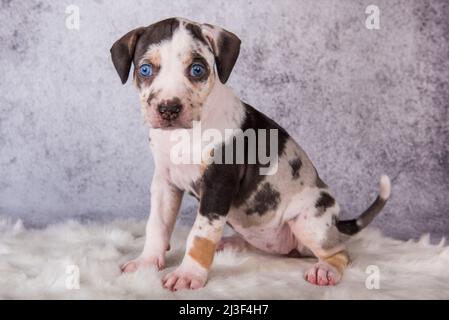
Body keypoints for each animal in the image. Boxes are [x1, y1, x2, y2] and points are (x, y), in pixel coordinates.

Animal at [110, 18, 390, 292]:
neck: (183, 135)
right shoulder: (165, 182)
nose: (168, 108)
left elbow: (200, 234)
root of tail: (336, 223)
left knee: (340, 253)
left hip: (309, 221)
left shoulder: (217, 186)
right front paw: (147, 262)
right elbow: (157, 225)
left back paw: (325, 270)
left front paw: (188, 275)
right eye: (146, 69)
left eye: (197, 70)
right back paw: (231, 243)